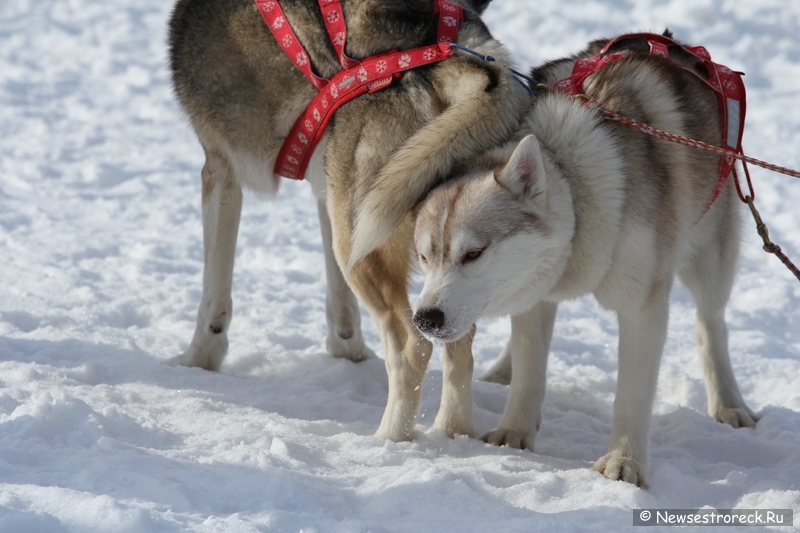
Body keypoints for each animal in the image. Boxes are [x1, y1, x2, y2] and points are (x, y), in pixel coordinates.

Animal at [167, 0, 532, 440]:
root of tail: (445, 55)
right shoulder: (327, 193)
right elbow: (339, 298)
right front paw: (348, 351)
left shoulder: (220, 169)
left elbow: (213, 294)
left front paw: (197, 362)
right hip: (405, 244)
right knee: (459, 343)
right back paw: (453, 432)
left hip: (362, 239)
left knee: (414, 347)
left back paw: (387, 440)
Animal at [412, 34, 756, 486]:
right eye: (424, 256)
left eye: (473, 253)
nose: (425, 319)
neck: (575, 183)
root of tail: (676, 45)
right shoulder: (536, 296)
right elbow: (530, 371)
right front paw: (515, 432)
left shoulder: (642, 307)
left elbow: (631, 395)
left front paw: (624, 462)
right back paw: (502, 369)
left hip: (711, 256)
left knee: (710, 325)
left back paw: (729, 402)